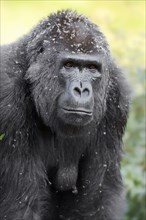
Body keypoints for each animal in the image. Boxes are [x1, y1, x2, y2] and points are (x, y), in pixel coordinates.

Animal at [0, 9, 130, 220]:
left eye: (92, 68)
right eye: (69, 65)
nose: (81, 90)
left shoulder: (117, 98)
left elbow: (97, 202)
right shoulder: (7, 98)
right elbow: (22, 205)